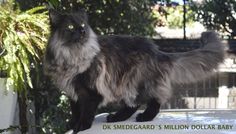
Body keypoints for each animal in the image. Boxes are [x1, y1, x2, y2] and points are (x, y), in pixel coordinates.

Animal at [43, 9, 223, 133]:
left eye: (82, 26)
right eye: (70, 26)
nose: (82, 31)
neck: (71, 56)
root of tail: (156, 50)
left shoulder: (90, 92)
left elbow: (86, 112)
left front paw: (82, 126)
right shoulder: (73, 91)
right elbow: (75, 111)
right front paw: (72, 124)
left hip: (134, 81)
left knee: (153, 100)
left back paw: (144, 117)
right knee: (132, 105)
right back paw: (115, 117)